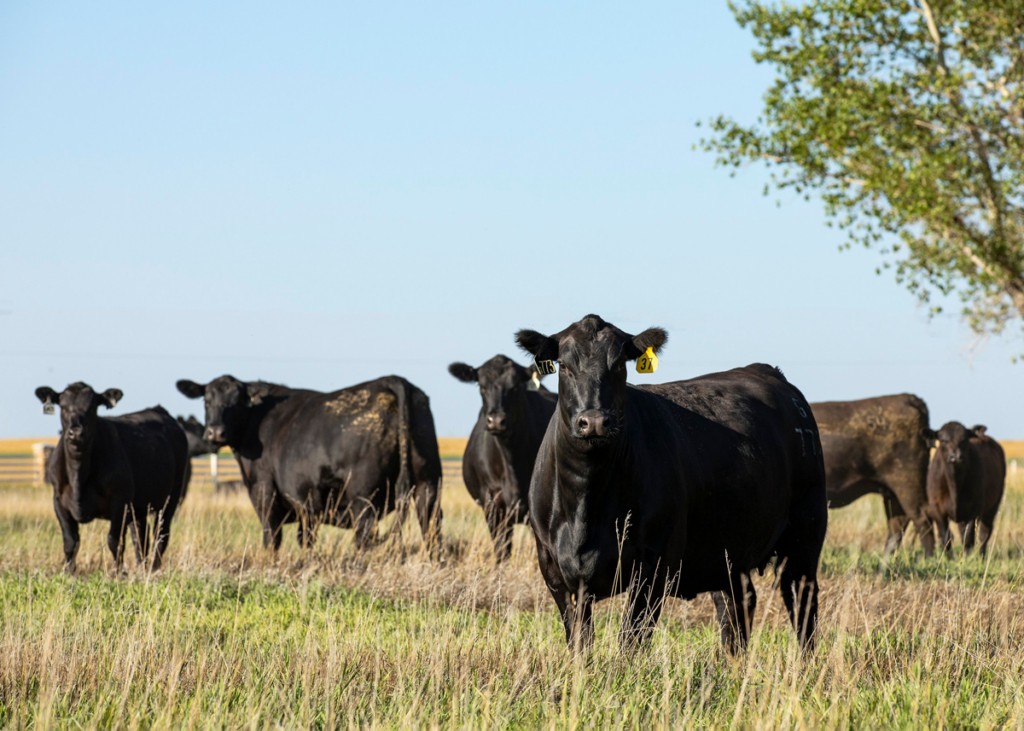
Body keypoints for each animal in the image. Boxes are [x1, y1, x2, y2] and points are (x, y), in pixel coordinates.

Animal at [35, 383, 190, 573]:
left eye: (92, 407)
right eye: (63, 406)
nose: (76, 433)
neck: (78, 474)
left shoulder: (120, 502)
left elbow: (114, 541)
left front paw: (118, 573)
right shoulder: (59, 501)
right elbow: (71, 542)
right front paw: (69, 573)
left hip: (172, 497)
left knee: (160, 534)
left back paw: (153, 569)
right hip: (139, 505)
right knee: (141, 536)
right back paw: (142, 569)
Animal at [176, 374, 443, 553]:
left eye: (237, 402)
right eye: (206, 401)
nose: (215, 432)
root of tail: (390, 380)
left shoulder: (264, 491)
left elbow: (272, 539)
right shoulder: (308, 506)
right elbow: (306, 541)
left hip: (363, 496)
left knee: (364, 537)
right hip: (428, 485)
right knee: (432, 531)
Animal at [516, 315, 827, 653]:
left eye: (620, 364)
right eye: (564, 364)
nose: (595, 421)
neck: (585, 505)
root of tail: (768, 373)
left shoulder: (655, 566)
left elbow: (630, 641)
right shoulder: (553, 569)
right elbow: (579, 641)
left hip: (805, 533)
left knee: (802, 604)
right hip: (725, 550)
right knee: (737, 606)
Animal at [812, 395, 934, 556]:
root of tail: (909, 398)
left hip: (908, 488)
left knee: (922, 518)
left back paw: (929, 557)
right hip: (892, 494)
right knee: (898, 523)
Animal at [923, 422, 1005, 557]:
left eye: (964, 440)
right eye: (943, 440)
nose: (955, 457)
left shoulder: (973, 510)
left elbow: (968, 539)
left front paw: (967, 558)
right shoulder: (937, 509)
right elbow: (945, 537)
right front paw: (947, 558)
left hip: (992, 506)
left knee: (984, 534)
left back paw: (981, 557)